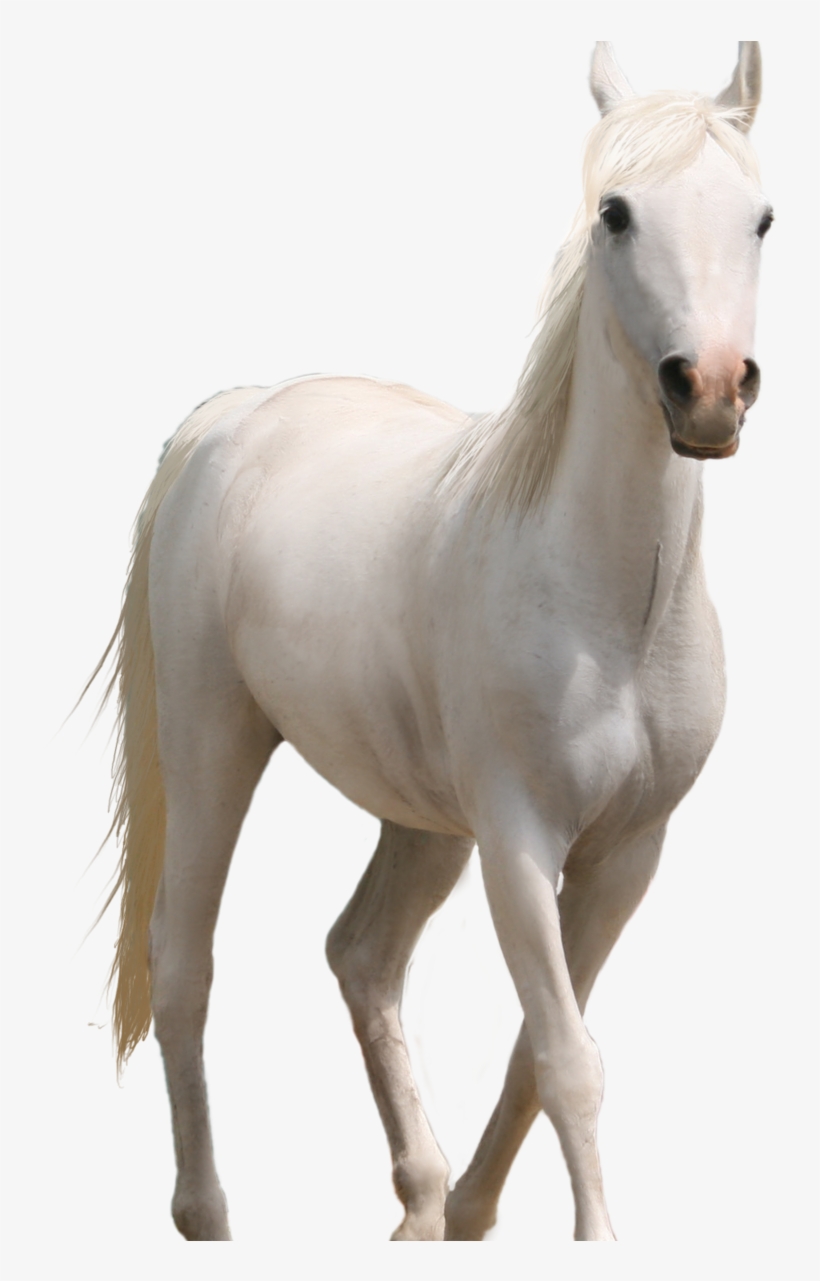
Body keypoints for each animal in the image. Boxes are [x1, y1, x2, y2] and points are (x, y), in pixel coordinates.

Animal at [93, 40, 771, 1242]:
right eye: (615, 211)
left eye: (764, 219)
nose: (710, 390)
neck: (610, 605)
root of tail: (235, 416)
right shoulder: (519, 842)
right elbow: (568, 1060)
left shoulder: (625, 856)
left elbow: (536, 1056)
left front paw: (467, 1212)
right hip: (216, 743)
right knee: (184, 961)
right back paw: (209, 1213)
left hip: (420, 818)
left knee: (361, 955)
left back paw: (418, 1200)